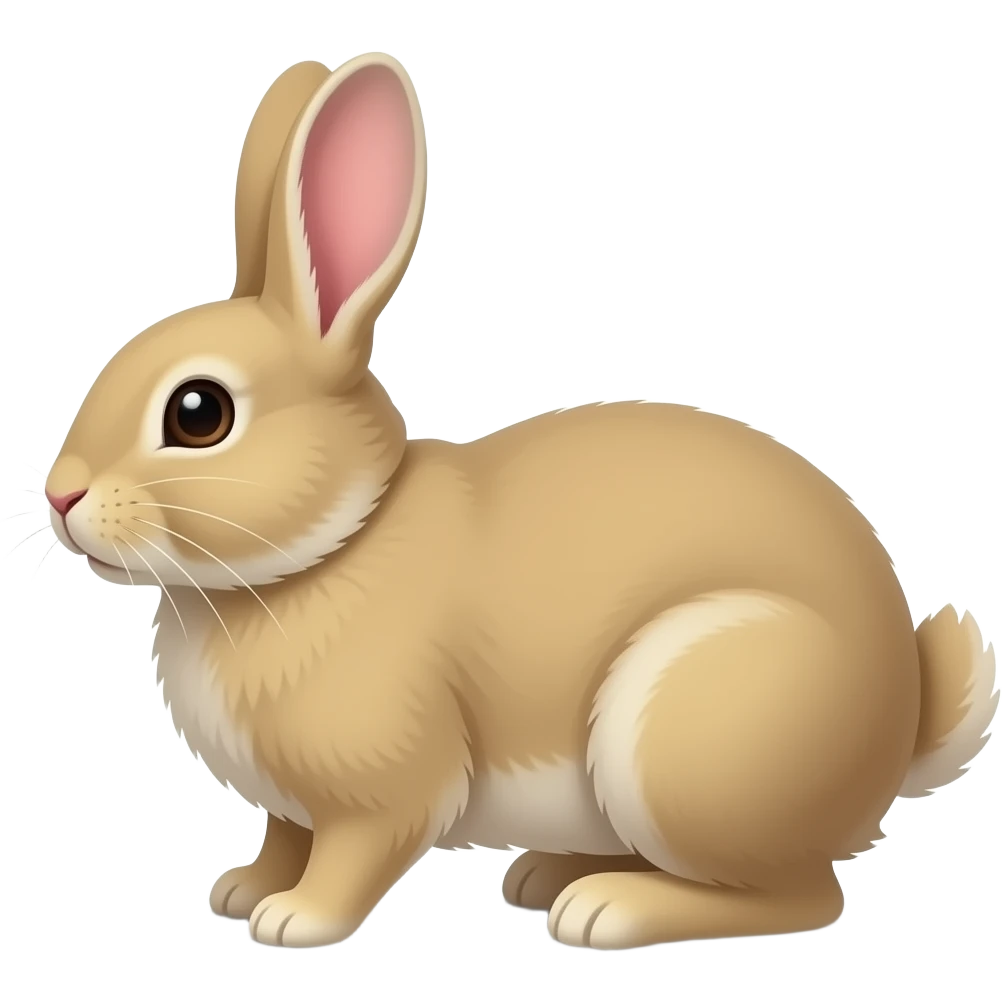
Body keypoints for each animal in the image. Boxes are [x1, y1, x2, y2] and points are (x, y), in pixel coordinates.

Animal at [42, 51, 998, 951]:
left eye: (198, 413)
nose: (61, 494)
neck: (334, 544)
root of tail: (899, 727)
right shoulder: (291, 804)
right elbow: (285, 837)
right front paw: (241, 891)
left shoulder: (385, 785)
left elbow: (355, 854)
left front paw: (295, 921)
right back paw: (548, 874)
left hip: (690, 735)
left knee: (803, 897)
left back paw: (607, 909)